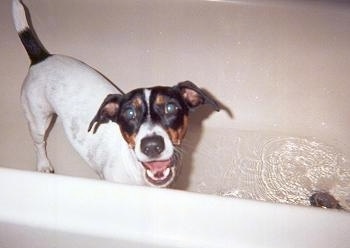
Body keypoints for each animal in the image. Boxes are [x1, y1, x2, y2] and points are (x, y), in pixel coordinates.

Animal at [12, 0, 220, 186]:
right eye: (129, 113)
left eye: (170, 108)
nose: (152, 146)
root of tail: (41, 58)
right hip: (38, 119)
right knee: (39, 143)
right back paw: (43, 165)